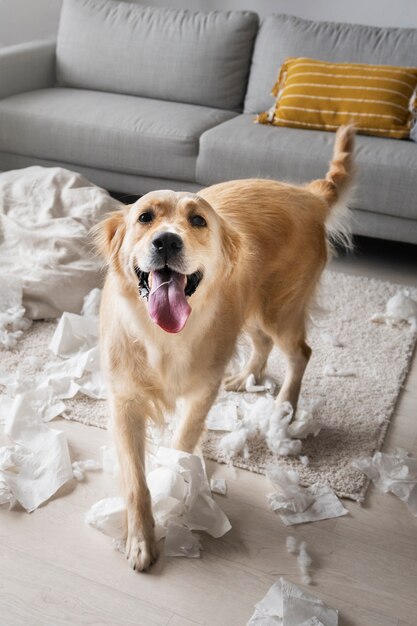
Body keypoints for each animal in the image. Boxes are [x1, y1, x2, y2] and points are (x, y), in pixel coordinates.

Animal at [92, 122, 352, 572]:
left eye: (198, 220)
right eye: (145, 217)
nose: (166, 242)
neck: (164, 336)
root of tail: (309, 194)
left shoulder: (200, 393)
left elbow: (181, 444)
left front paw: (176, 488)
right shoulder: (124, 400)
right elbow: (135, 481)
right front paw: (141, 537)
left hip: (277, 309)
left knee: (300, 352)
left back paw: (284, 411)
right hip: (252, 308)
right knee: (263, 343)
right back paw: (247, 376)